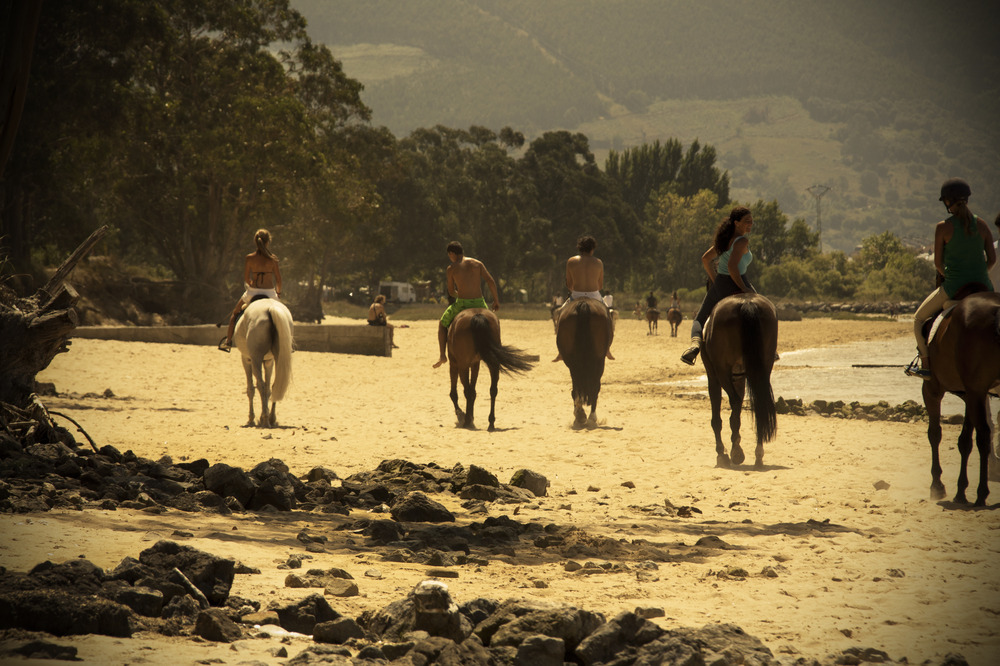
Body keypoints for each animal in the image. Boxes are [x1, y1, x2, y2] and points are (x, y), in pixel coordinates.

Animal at [233, 296, 292, 426]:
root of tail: (270, 308)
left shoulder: (246, 359)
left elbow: (251, 389)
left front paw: (251, 418)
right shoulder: (269, 361)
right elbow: (268, 388)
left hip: (255, 359)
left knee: (260, 385)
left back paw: (265, 419)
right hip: (277, 358)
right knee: (274, 385)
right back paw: (271, 418)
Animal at [556, 296, 608, 426]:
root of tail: (584, 303)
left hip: (573, 362)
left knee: (577, 385)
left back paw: (580, 414)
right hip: (598, 361)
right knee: (594, 387)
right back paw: (590, 417)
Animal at [700, 290, 776, 466]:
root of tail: (747, 302)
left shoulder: (713, 376)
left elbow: (718, 418)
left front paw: (722, 453)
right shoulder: (739, 378)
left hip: (721, 371)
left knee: (733, 402)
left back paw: (736, 451)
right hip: (763, 367)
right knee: (759, 404)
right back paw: (758, 454)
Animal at [920, 290, 1000, 504]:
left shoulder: (931, 389)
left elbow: (934, 433)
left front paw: (937, 485)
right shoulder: (971, 394)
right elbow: (964, 441)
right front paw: (960, 491)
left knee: (983, 435)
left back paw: (981, 492)